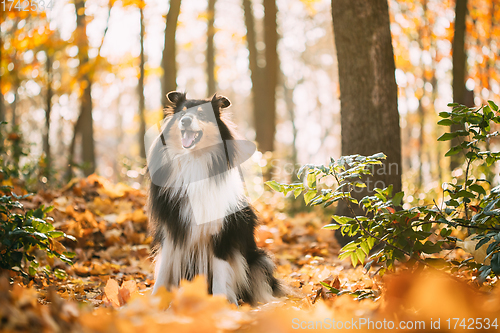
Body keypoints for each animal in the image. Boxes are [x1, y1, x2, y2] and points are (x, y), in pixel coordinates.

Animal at [146, 91, 284, 304]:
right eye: (182, 113)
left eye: (202, 114)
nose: (185, 121)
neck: (194, 161)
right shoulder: (173, 229)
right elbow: (163, 272)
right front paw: (153, 303)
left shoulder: (222, 233)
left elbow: (220, 275)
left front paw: (220, 307)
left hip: (260, 259)